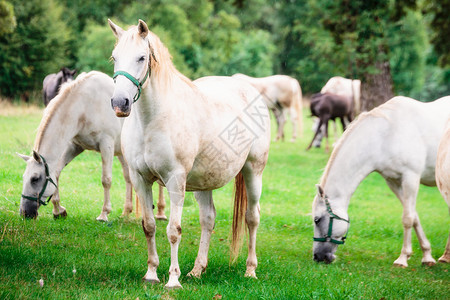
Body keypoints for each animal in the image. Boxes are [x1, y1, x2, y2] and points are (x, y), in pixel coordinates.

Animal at [18, 70, 167, 220]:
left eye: (35, 179)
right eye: (24, 177)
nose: (24, 212)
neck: (85, 106)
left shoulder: (106, 145)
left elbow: (106, 180)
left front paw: (104, 213)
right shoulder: (75, 146)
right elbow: (57, 173)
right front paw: (58, 210)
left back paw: (160, 212)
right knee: (128, 177)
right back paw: (126, 212)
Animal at [108, 19, 270, 290]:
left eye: (142, 57)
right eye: (114, 57)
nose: (120, 103)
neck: (152, 120)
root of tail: (251, 90)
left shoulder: (175, 180)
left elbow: (174, 230)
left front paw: (173, 279)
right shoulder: (140, 179)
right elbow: (149, 226)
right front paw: (151, 273)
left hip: (253, 171)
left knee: (252, 218)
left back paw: (250, 270)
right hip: (204, 182)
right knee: (208, 219)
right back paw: (197, 270)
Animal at [312, 96, 450, 268]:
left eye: (317, 220)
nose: (318, 256)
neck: (386, 135)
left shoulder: (410, 178)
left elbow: (408, 218)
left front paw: (402, 258)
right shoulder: (393, 182)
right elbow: (414, 217)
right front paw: (427, 256)